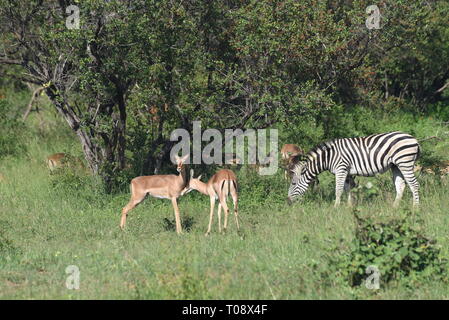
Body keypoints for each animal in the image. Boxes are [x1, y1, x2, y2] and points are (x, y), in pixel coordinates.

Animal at [288, 131, 420, 206]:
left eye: (293, 183)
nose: (288, 201)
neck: (328, 157)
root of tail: (414, 138)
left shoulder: (341, 169)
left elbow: (338, 190)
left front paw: (336, 208)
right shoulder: (347, 172)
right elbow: (348, 189)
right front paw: (349, 207)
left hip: (405, 162)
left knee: (414, 184)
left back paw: (416, 208)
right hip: (396, 165)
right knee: (401, 185)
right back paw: (394, 207)